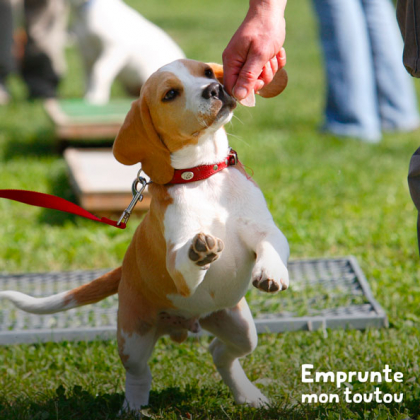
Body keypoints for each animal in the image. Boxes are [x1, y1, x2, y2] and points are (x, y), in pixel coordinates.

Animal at [0, 58, 288, 414]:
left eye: (207, 72)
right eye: (170, 94)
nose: (214, 88)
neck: (203, 176)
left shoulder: (265, 229)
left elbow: (271, 246)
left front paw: (271, 272)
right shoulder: (176, 265)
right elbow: (183, 261)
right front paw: (199, 251)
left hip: (241, 327)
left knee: (221, 353)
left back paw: (248, 395)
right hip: (133, 337)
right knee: (139, 373)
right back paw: (134, 408)